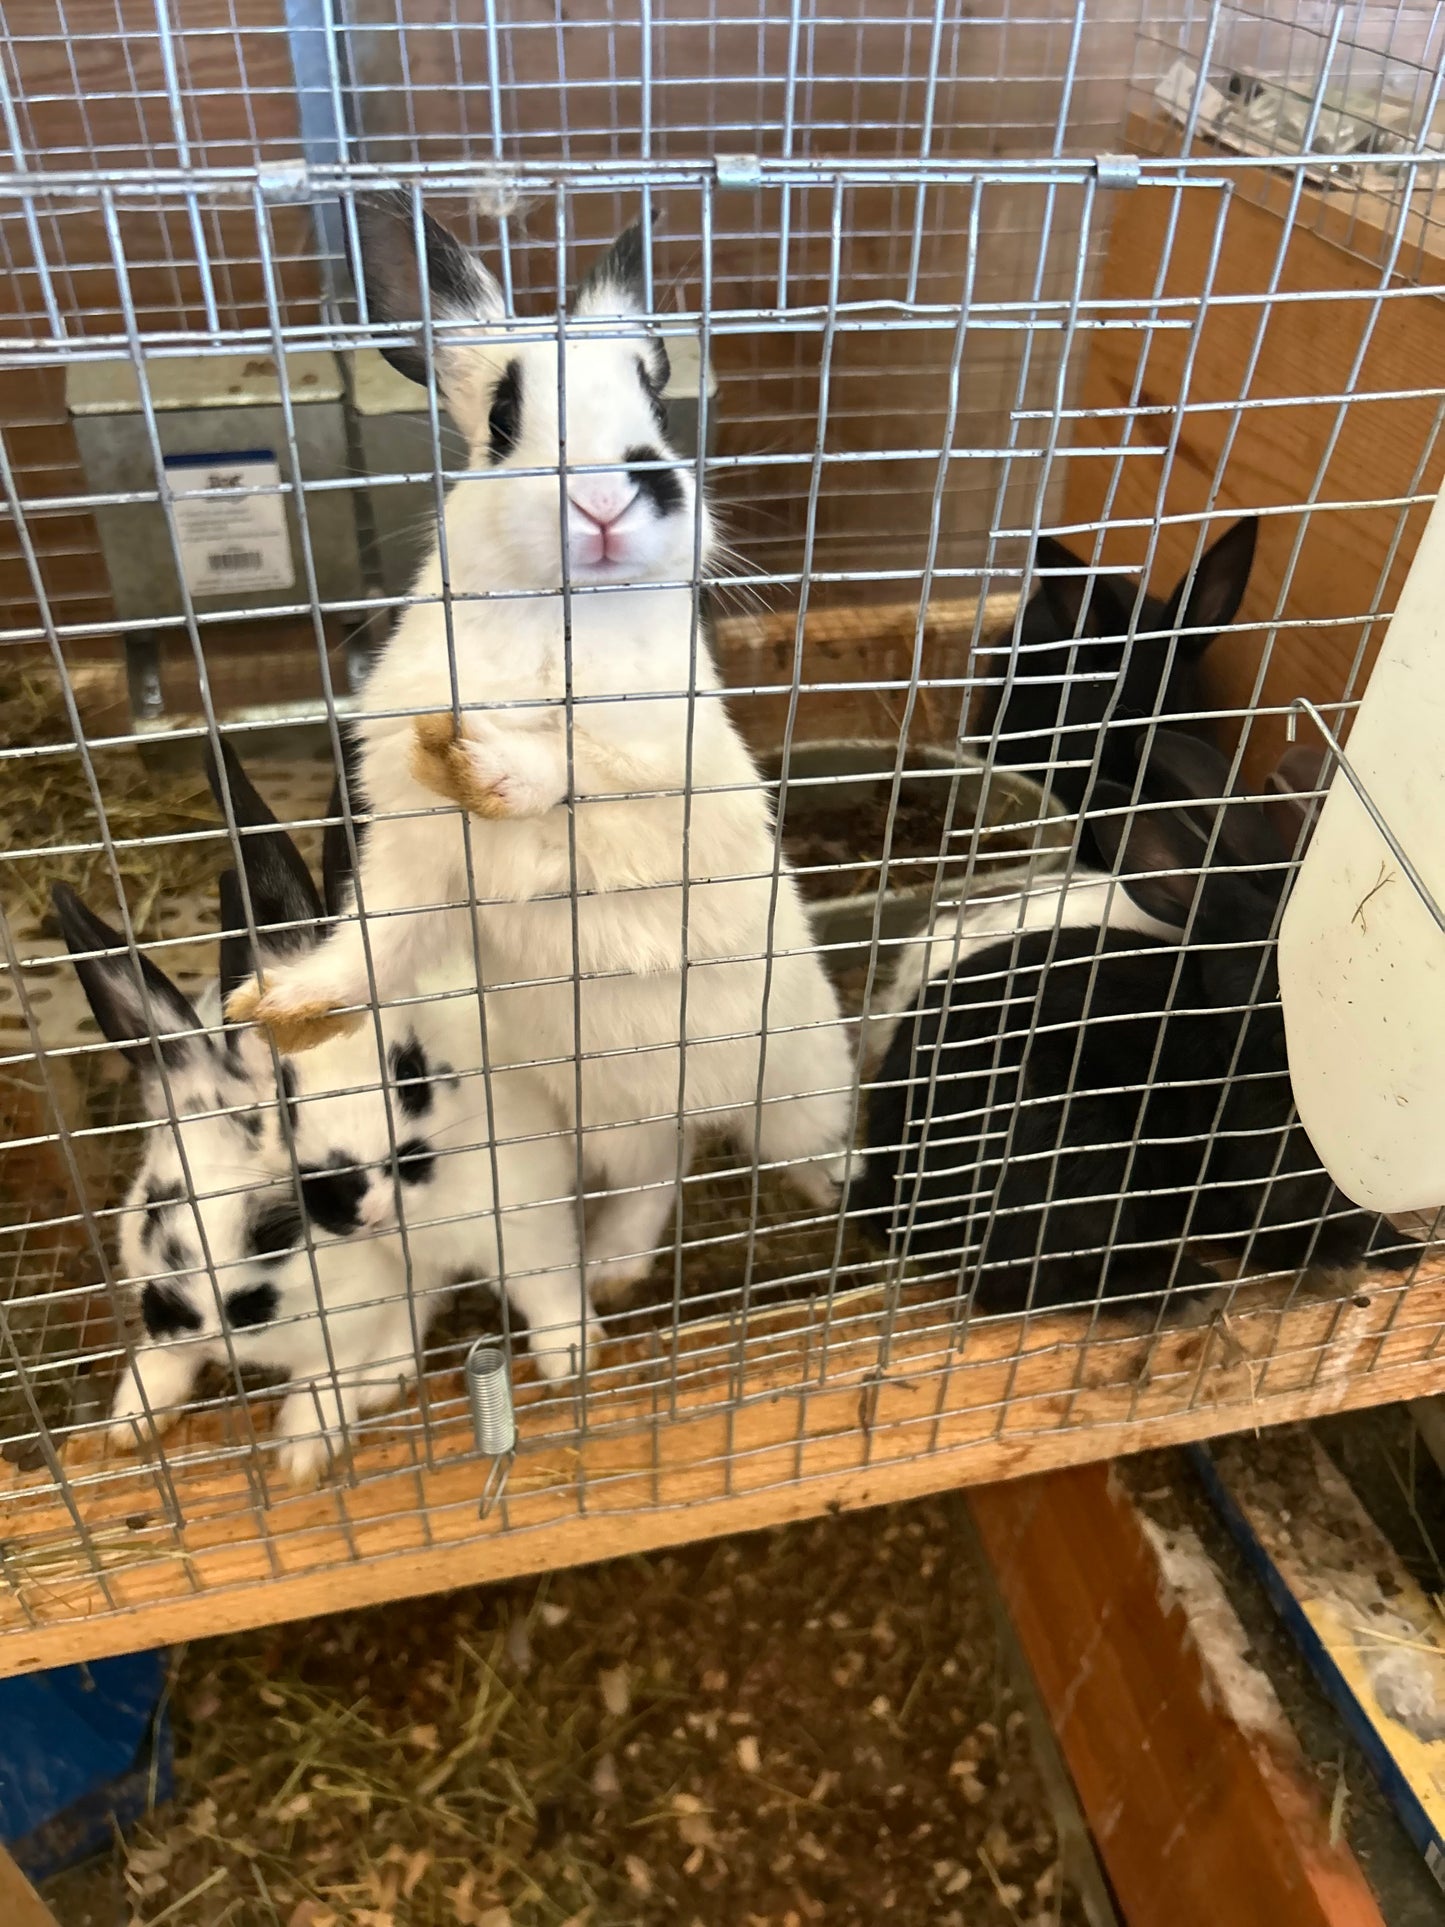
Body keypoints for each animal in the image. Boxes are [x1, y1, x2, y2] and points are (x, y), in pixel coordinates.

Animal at [225, 197, 856, 1292]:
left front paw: (485, 759)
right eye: (502, 420)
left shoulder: (655, 761)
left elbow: (574, 765)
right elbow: (369, 948)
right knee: (657, 1169)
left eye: (656, 402)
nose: (608, 496)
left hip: (797, 1081)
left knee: (776, 1143)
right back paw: (610, 1267)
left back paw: (834, 1192)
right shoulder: (417, 857)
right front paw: (277, 1006)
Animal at [855, 737, 1419, 1316]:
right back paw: (1185, 1290)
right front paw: (1367, 1255)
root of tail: (887, 1179)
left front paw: (1397, 1247)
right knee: (1028, 1280)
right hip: (1070, 1153)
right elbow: (1278, 1225)